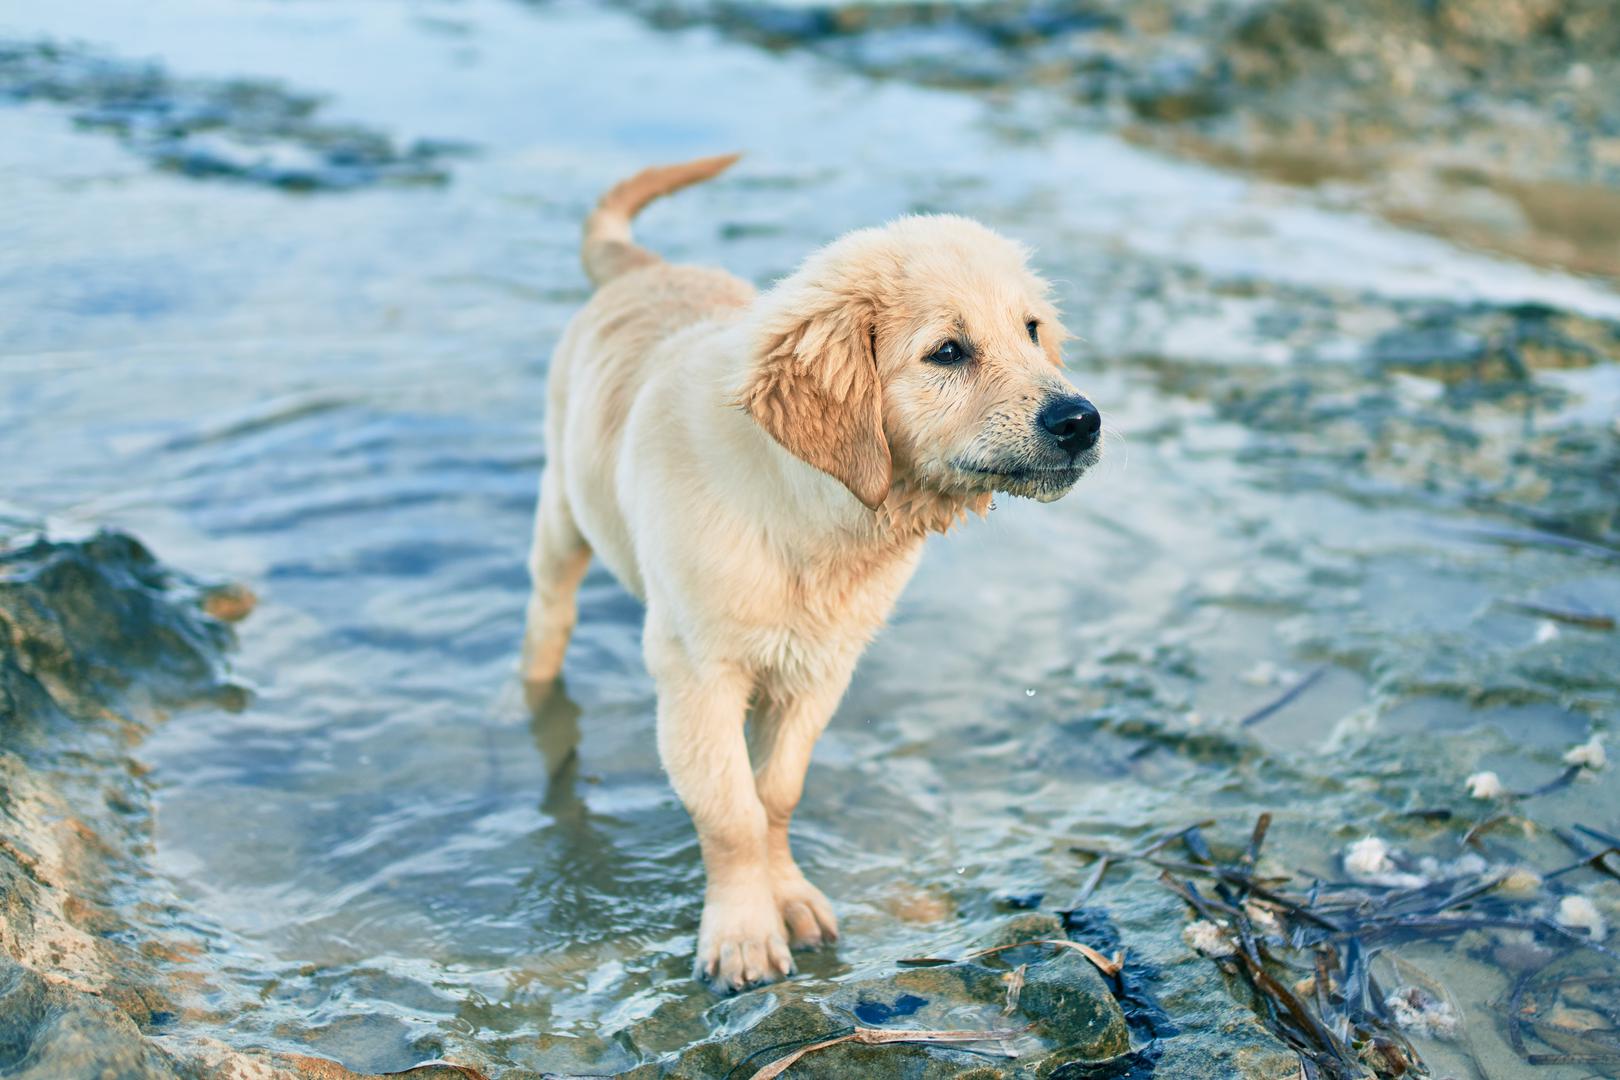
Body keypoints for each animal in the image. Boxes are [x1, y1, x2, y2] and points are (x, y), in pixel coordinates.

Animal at [518, 156, 1101, 990]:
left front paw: (785, 894)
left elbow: (775, 795)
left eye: (1031, 330)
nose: (1082, 420)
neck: (819, 512)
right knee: (548, 618)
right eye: (948, 352)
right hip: (562, 517)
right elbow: (730, 812)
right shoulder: (697, 672)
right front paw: (743, 934)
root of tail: (648, 268)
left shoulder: (820, 667)